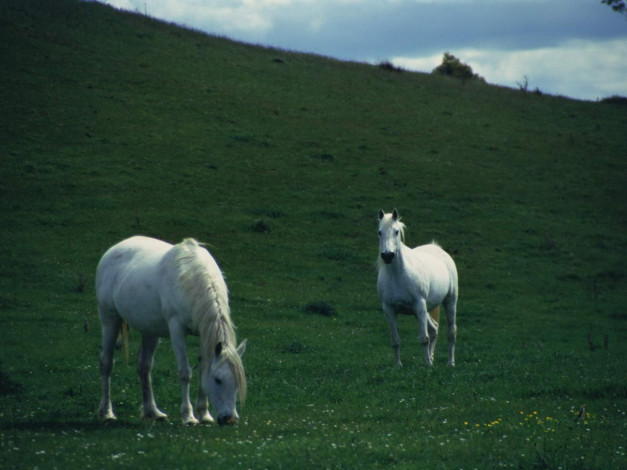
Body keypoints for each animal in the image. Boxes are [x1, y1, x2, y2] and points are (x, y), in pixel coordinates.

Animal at [97, 237, 247, 424]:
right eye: (218, 380)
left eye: (238, 382)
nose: (230, 419)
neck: (194, 277)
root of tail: (112, 250)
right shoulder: (176, 329)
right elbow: (185, 372)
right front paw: (189, 416)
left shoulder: (204, 333)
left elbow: (203, 368)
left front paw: (204, 414)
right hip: (109, 321)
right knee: (106, 363)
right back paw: (107, 412)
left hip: (150, 330)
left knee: (144, 366)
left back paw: (152, 411)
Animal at [376, 209, 458, 368]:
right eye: (379, 232)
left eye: (396, 232)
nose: (388, 256)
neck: (398, 275)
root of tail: (439, 250)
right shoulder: (389, 310)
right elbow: (395, 341)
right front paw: (398, 365)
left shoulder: (419, 305)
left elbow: (423, 339)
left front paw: (427, 365)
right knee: (434, 329)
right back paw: (432, 357)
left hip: (449, 302)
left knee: (451, 333)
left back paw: (450, 362)